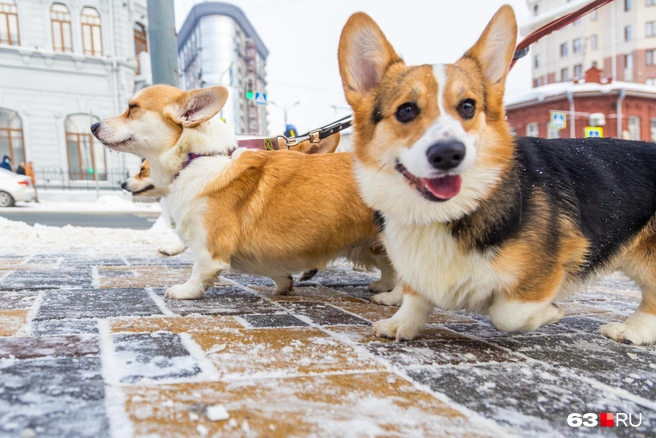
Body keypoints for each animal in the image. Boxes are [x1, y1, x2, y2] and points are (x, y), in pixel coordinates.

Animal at [90, 84, 398, 298]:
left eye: (132, 107)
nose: (92, 125)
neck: (195, 159)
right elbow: (275, 271)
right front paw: (284, 285)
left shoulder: (209, 246)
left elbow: (199, 270)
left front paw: (184, 291)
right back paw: (382, 287)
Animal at [340, 5, 656, 344]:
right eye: (406, 110)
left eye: (467, 107)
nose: (449, 153)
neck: (446, 213)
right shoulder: (416, 265)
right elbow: (415, 295)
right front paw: (402, 323)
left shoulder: (558, 261)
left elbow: (507, 312)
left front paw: (548, 313)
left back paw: (630, 329)